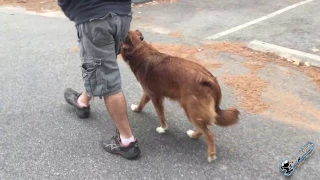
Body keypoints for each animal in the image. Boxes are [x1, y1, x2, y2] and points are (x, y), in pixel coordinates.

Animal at [120, 30, 240, 162]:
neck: (138, 49)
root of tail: (210, 79)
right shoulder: (149, 93)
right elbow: (141, 102)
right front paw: (137, 109)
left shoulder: (155, 96)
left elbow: (160, 115)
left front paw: (163, 128)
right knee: (205, 128)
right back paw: (194, 135)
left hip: (191, 110)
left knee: (209, 134)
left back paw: (211, 154)